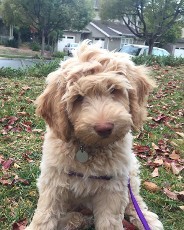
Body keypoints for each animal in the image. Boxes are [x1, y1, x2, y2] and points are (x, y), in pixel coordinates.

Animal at [26, 41, 164, 230]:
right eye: (78, 98)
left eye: (114, 90)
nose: (104, 128)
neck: (89, 148)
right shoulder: (54, 180)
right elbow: (45, 215)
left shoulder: (113, 186)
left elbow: (110, 221)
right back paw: (74, 219)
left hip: (131, 172)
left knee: (134, 201)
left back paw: (147, 219)